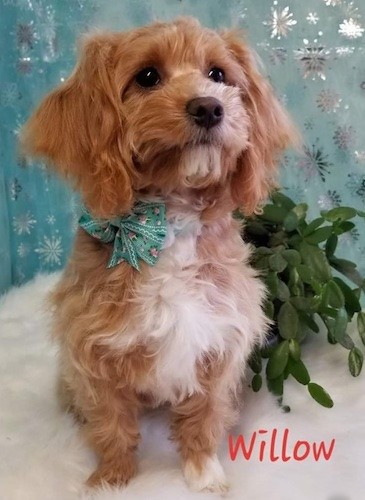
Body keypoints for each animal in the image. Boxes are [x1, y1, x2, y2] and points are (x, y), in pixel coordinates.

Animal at [22, 17, 296, 494]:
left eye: (218, 74)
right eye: (147, 76)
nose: (209, 107)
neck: (169, 221)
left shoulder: (221, 339)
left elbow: (204, 415)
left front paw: (204, 473)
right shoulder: (92, 351)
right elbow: (111, 422)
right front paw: (110, 479)